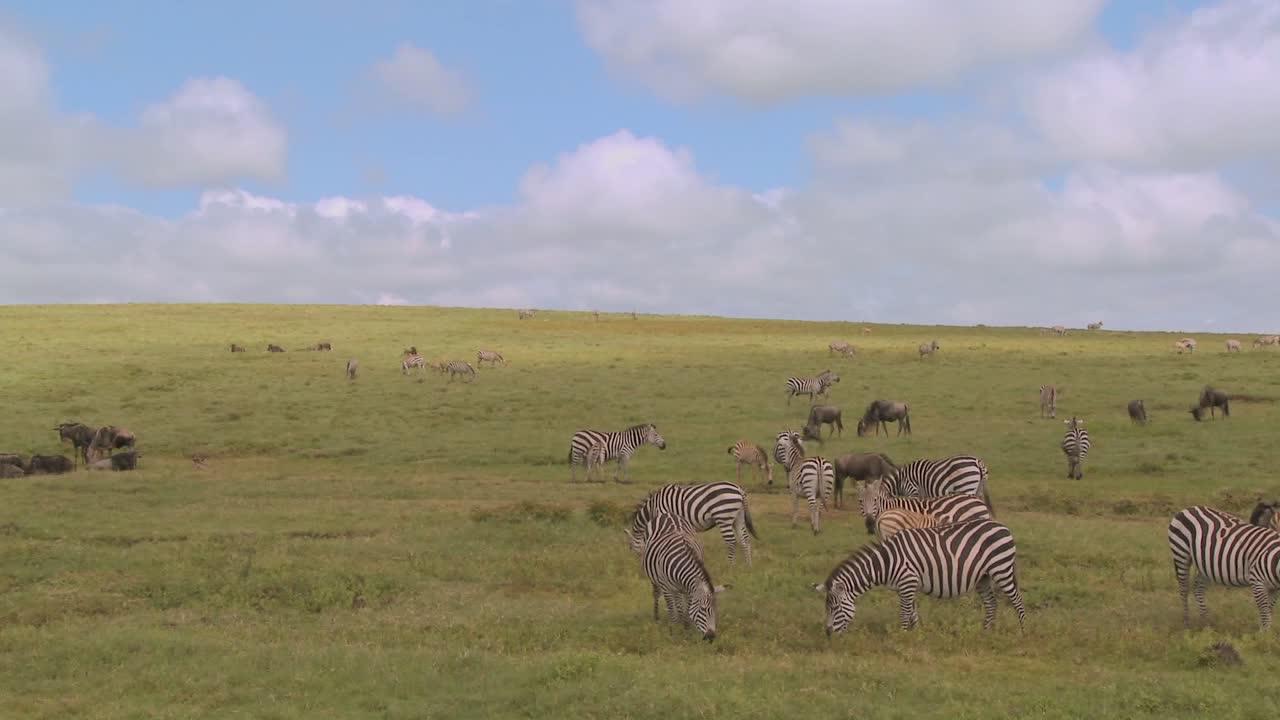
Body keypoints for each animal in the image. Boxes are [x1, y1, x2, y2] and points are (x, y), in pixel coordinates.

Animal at [627, 481, 757, 565]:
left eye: (634, 552)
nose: (640, 567)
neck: (652, 507)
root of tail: (739, 489)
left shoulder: (665, 516)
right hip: (738, 517)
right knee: (745, 540)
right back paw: (748, 566)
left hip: (723, 516)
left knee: (731, 542)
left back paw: (730, 566)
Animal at [641, 511, 727, 642]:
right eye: (703, 609)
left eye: (715, 610)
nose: (711, 637)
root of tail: (667, 513)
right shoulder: (667, 588)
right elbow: (673, 609)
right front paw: (673, 631)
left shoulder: (688, 589)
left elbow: (687, 609)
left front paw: (687, 629)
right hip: (656, 580)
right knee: (657, 595)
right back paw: (657, 618)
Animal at [814, 519, 1027, 634]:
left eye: (834, 607)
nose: (827, 633)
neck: (887, 562)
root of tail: (1002, 526)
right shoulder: (908, 585)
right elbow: (913, 612)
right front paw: (916, 635)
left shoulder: (907, 583)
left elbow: (904, 612)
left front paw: (901, 635)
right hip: (983, 577)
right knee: (991, 603)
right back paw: (985, 632)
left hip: (1001, 569)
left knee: (1017, 601)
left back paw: (1023, 632)